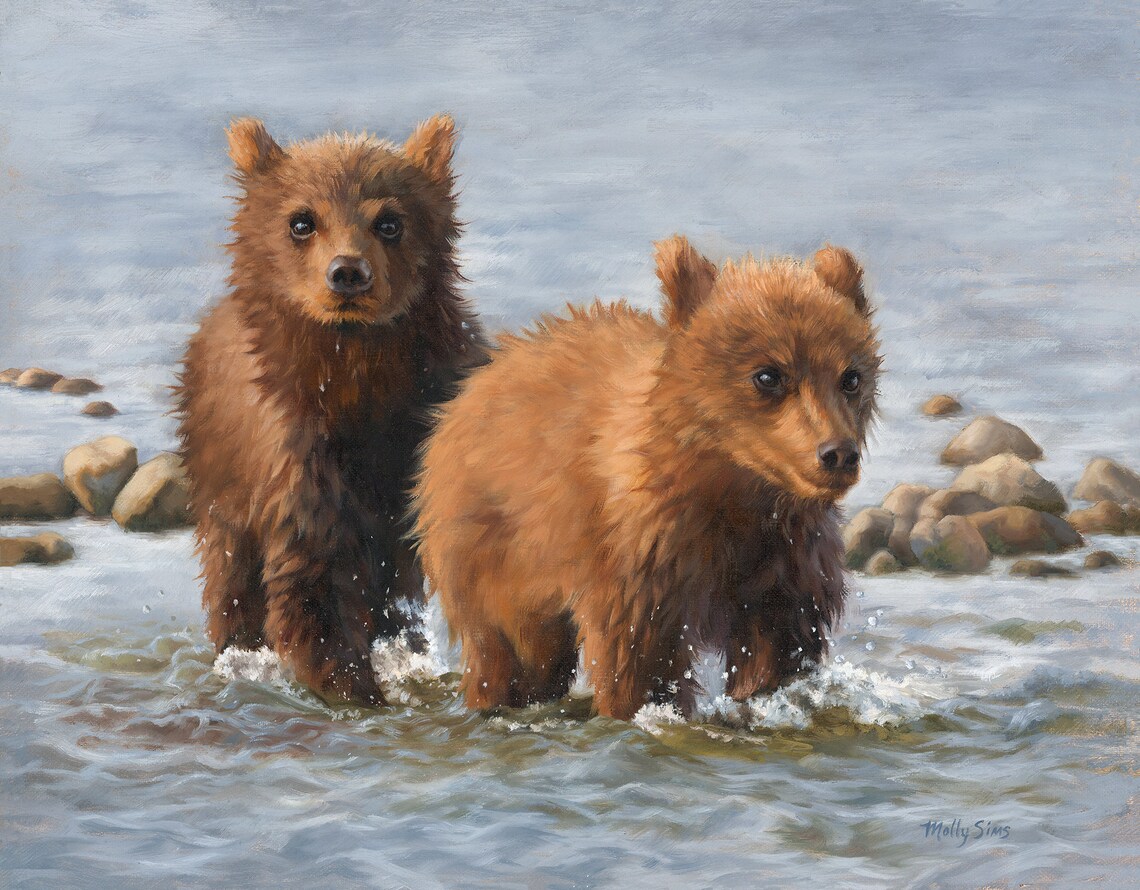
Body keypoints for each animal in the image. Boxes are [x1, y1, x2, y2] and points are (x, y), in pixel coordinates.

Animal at [177, 114, 485, 706]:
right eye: (302, 221)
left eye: (389, 221)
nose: (347, 273)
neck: (356, 380)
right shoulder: (294, 455)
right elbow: (311, 587)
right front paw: (357, 689)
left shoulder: (422, 430)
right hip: (221, 476)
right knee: (231, 575)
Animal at [412, 236, 880, 720]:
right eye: (768, 375)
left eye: (850, 377)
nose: (838, 453)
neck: (733, 491)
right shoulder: (643, 559)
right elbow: (639, 662)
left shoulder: (784, 566)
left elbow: (778, 652)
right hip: (496, 549)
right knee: (512, 652)